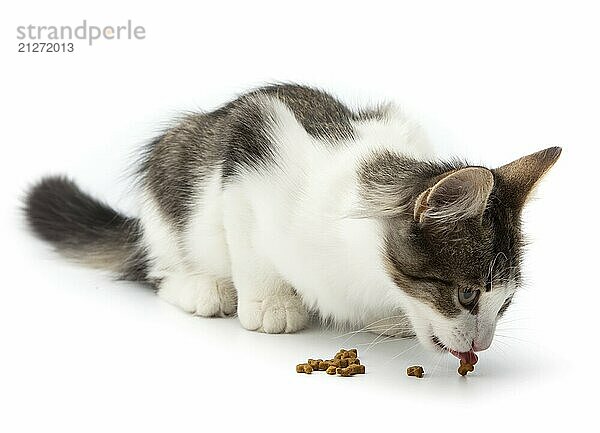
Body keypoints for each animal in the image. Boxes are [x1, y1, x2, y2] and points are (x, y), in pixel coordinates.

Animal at [23, 82, 560, 362]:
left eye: (504, 303)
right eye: (466, 294)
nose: (483, 344)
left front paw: (390, 319)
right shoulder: (250, 152)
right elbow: (248, 244)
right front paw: (270, 305)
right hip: (171, 178)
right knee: (155, 266)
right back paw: (200, 287)